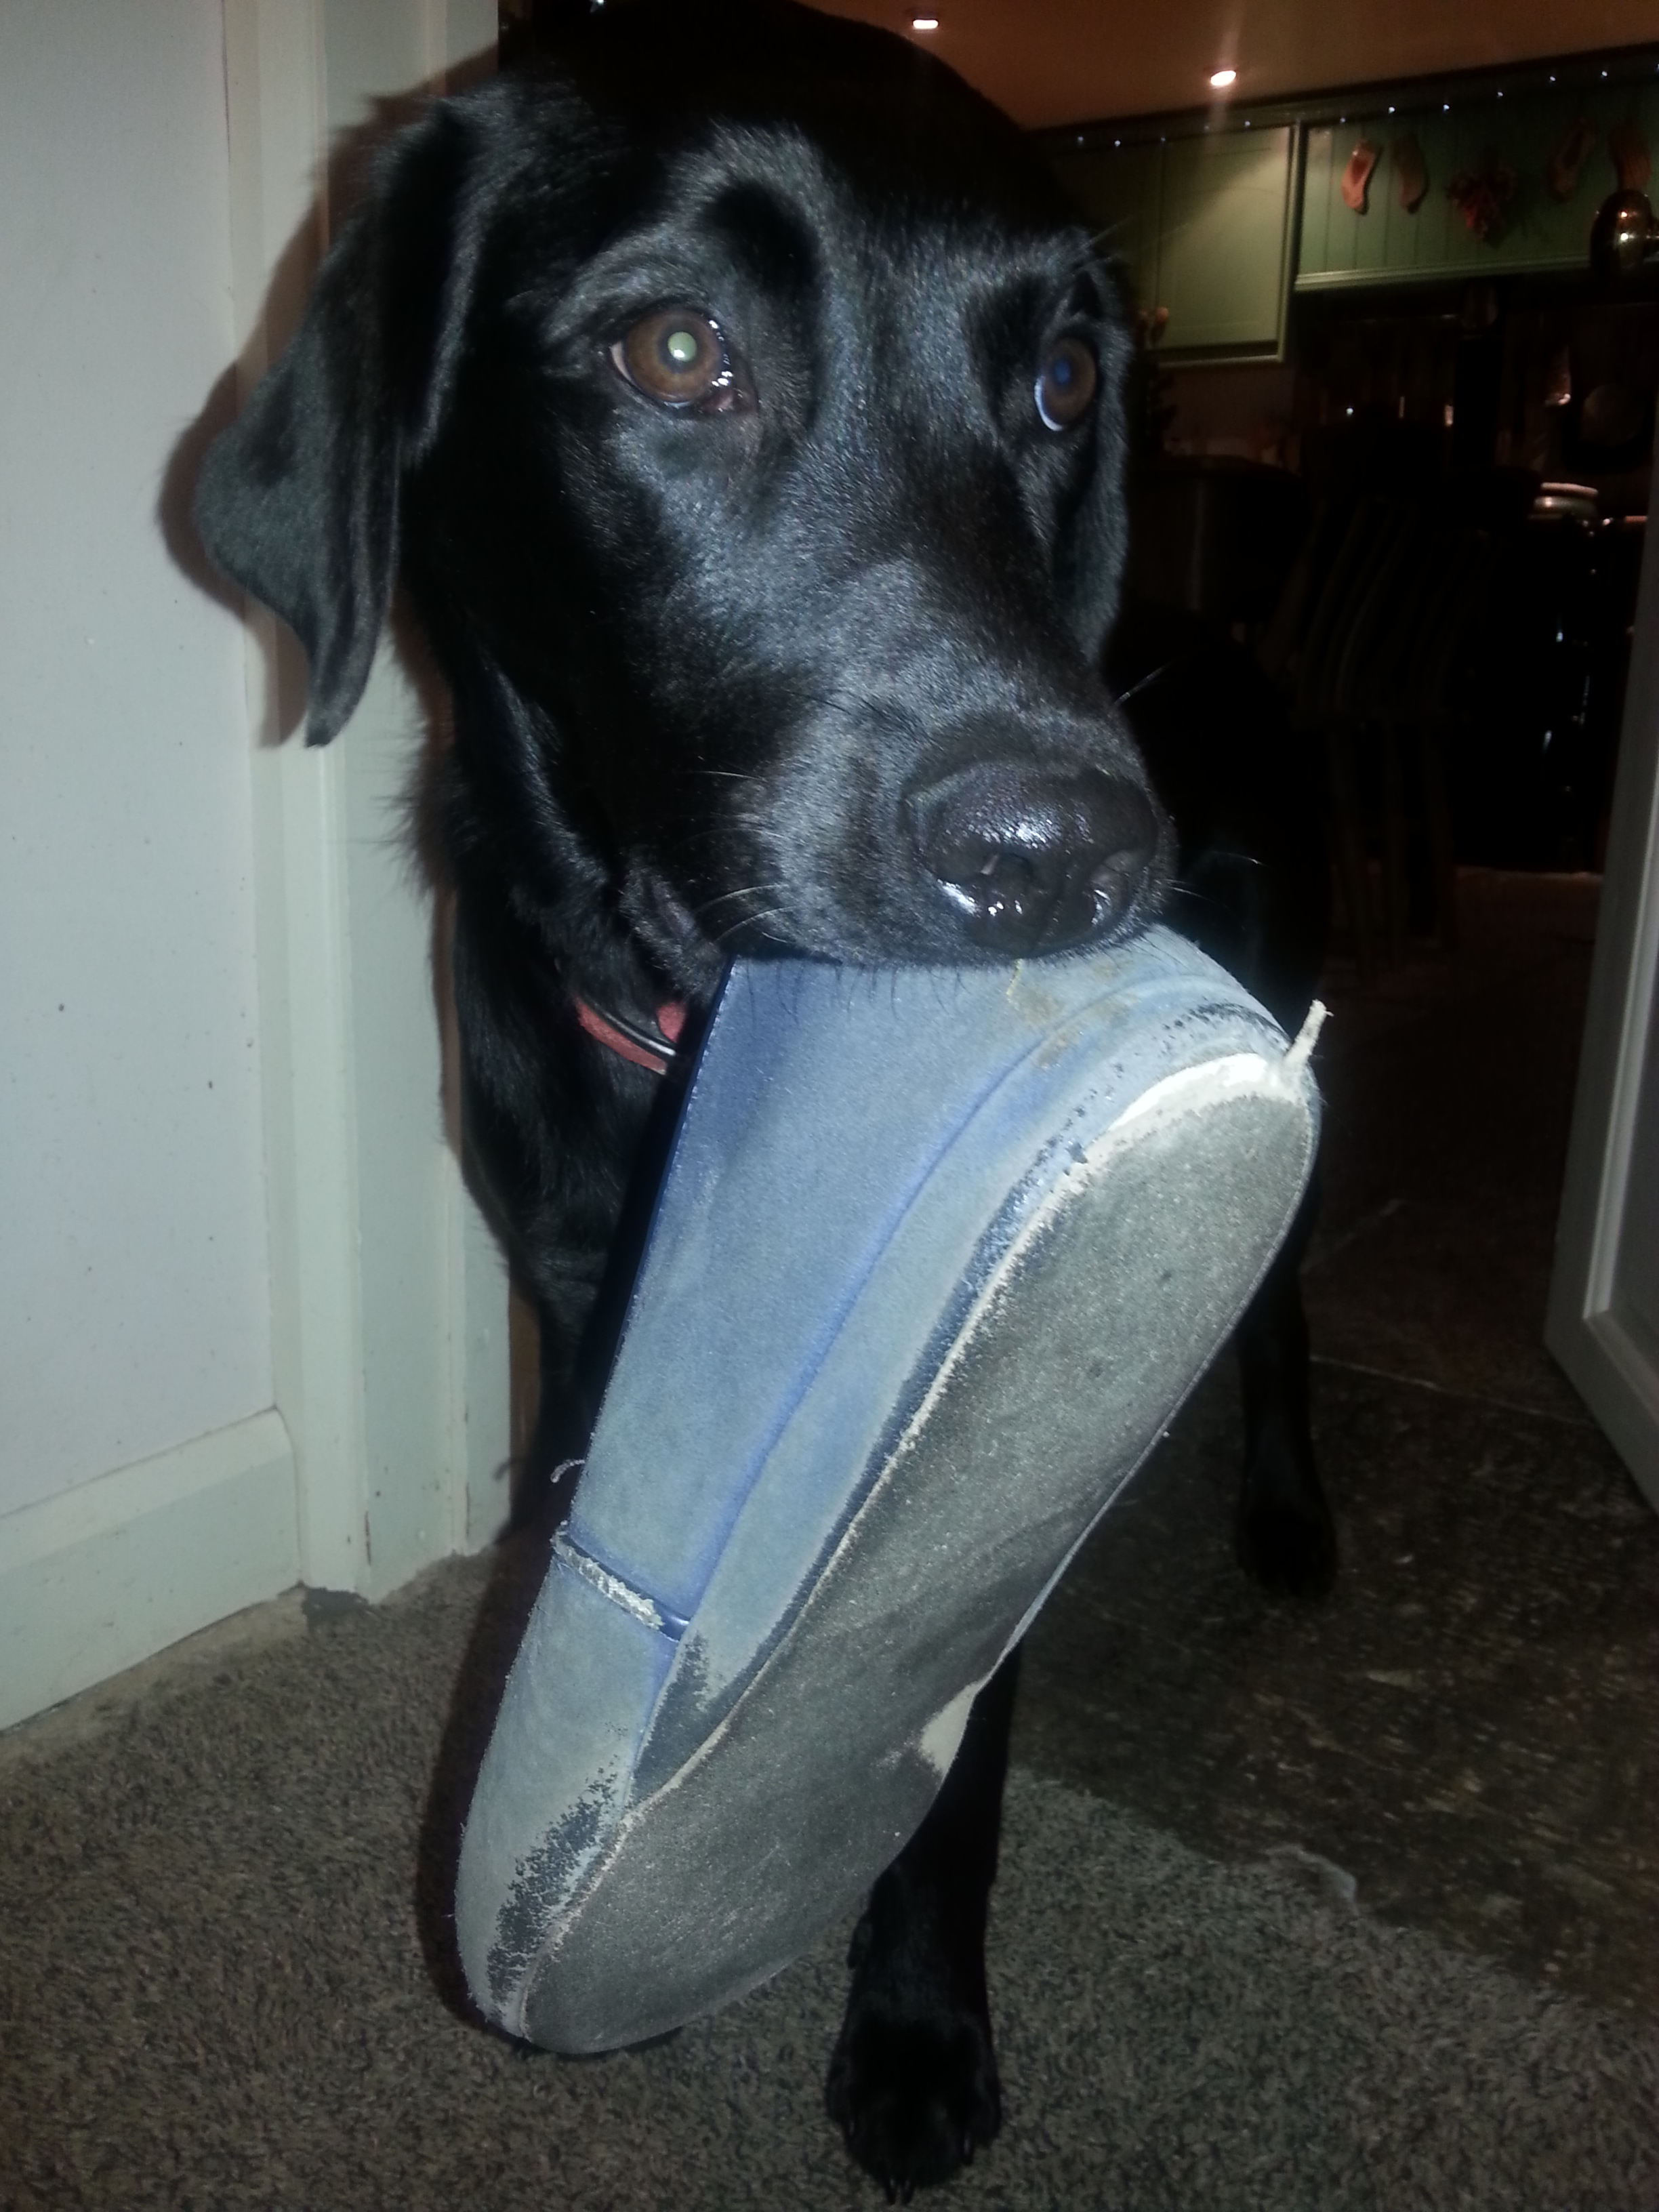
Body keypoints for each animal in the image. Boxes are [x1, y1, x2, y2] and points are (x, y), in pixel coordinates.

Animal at [195, 3, 1332, 2194]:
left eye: (1063, 379)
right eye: (673, 350)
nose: (1071, 852)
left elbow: (949, 1753)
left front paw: (914, 2027)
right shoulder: (571, 1303)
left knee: (1289, 1329)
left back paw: (1288, 1506)